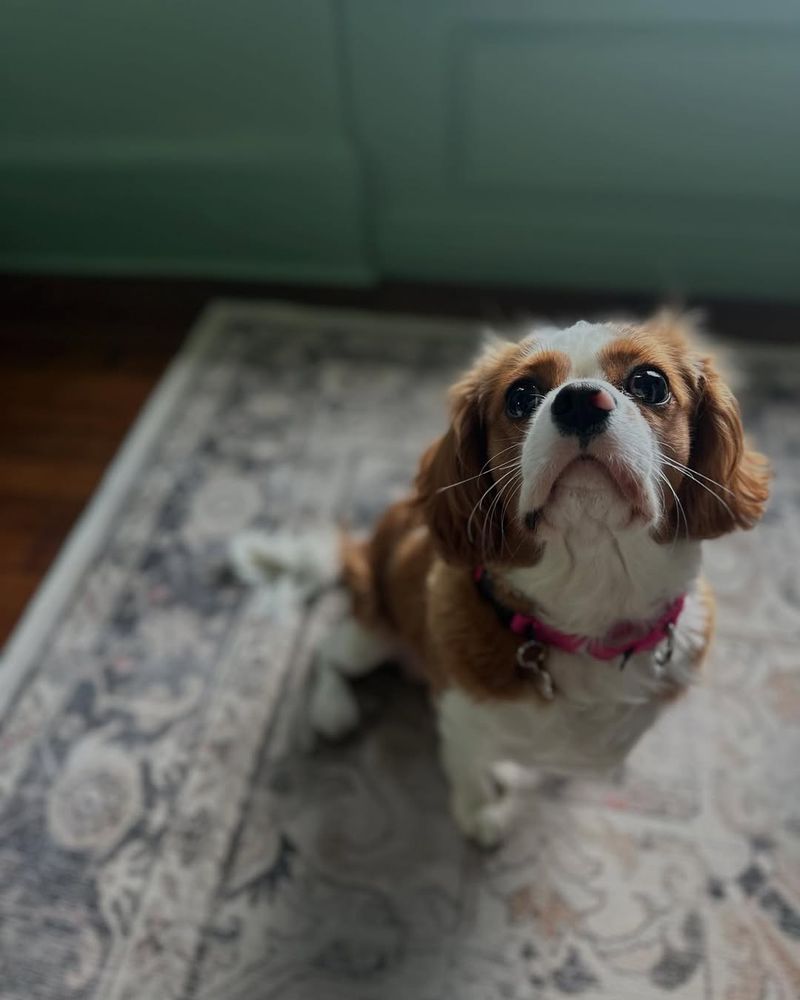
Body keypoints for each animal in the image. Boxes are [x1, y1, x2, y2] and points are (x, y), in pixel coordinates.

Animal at [236, 312, 768, 844]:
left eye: (650, 383)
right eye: (521, 395)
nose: (580, 400)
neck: (592, 592)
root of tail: (363, 547)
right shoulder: (458, 720)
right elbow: (468, 769)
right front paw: (480, 814)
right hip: (372, 631)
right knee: (327, 652)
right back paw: (331, 709)